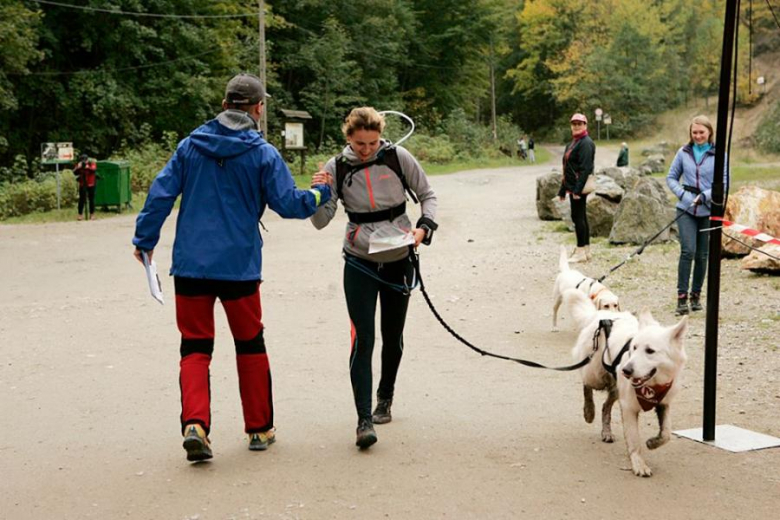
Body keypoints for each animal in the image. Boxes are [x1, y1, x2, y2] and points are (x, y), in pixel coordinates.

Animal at [564, 290, 684, 478]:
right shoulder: (629, 407)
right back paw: (589, 411)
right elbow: (634, 440)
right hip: (596, 376)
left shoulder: (663, 402)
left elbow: (666, 433)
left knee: (605, 407)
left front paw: (653, 442)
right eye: (633, 347)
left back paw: (606, 431)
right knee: (586, 385)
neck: (652, 385)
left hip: (616, 387)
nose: (626, 370)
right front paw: (639, 464)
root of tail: (600, 314)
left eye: (650, 351)